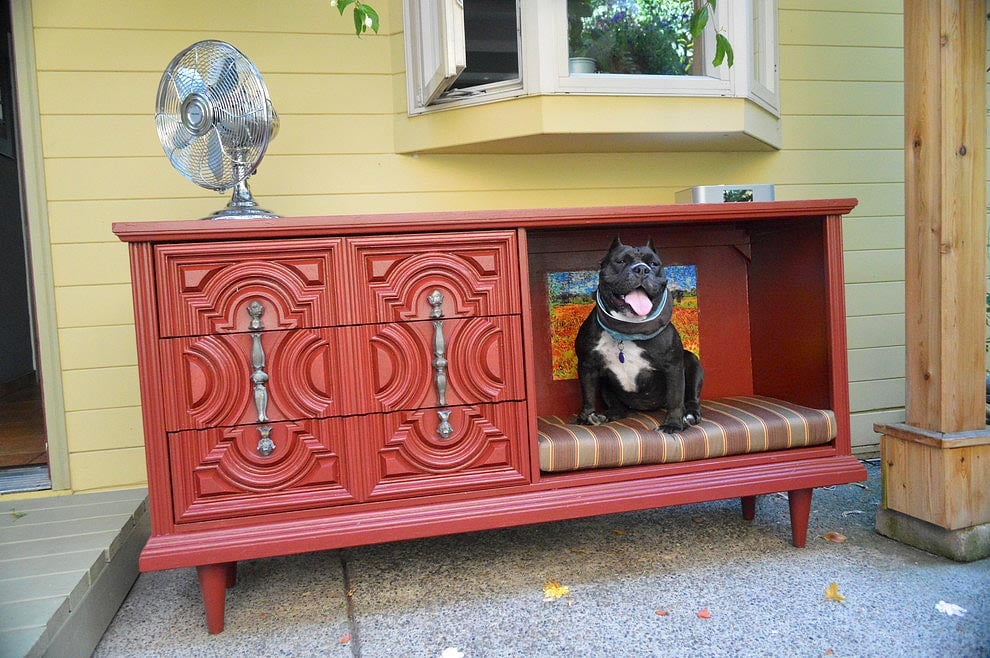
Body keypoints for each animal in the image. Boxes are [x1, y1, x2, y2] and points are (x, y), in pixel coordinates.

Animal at [572, 236, 704, 430]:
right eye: (620, 261)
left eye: (654, 264)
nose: (642, 269)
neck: (627, 330)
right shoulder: (587, 365)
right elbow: (588, 394)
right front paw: (586, 416)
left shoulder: (673, 367)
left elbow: (675, 398)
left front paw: (673, 424)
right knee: (618, 408)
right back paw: (605, 415)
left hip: (693, 362)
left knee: (691, 399)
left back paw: (689, 415)